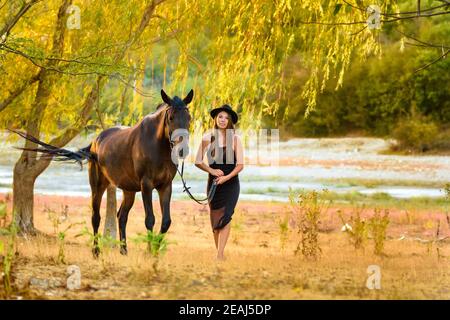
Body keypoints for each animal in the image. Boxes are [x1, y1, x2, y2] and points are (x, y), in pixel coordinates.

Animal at [13, 89, 192, 255]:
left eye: (189, 118)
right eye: (171, 118)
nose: (182, 150)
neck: (157, 145)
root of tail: (95, 141)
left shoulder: (165, 186)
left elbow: (166, 221)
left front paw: (155, 251)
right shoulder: (146, 185)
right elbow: (150, 219)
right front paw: (149, 252)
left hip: (129, 190)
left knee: (122, 216)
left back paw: (123, 250)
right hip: (98, 185)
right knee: (96, 217)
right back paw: (96, 251)